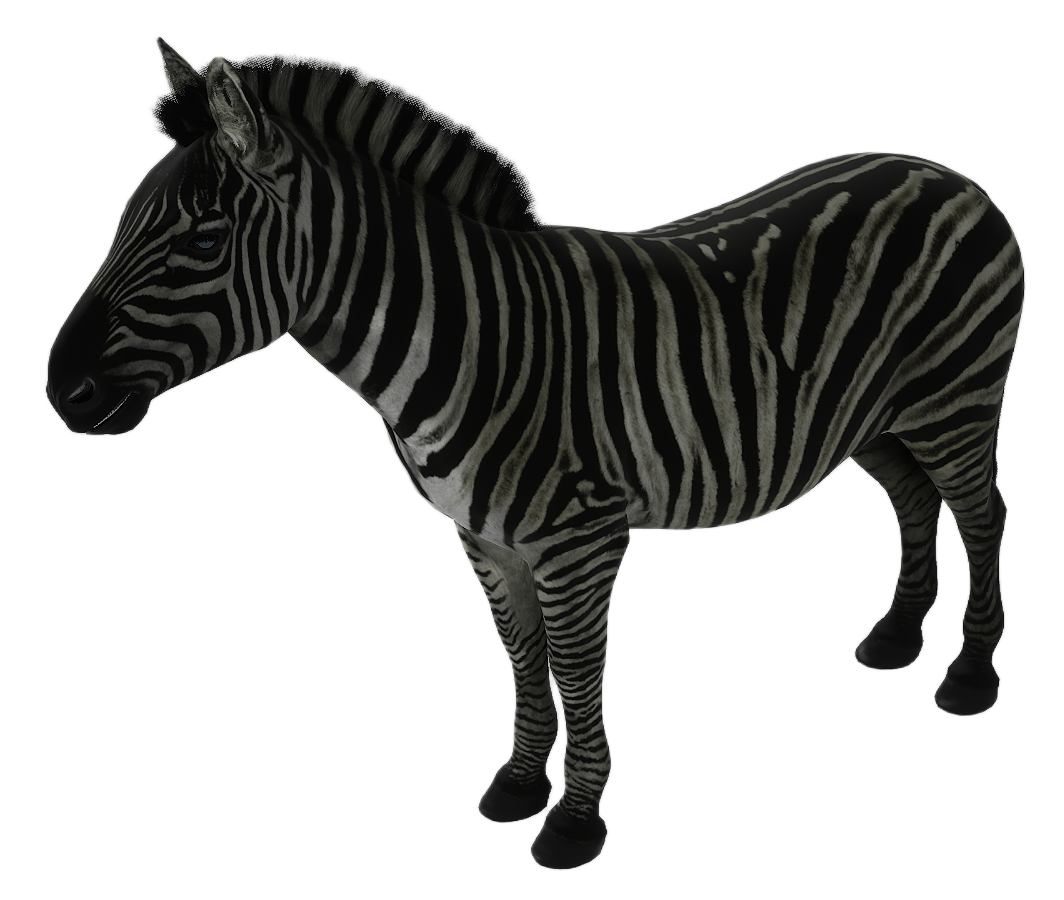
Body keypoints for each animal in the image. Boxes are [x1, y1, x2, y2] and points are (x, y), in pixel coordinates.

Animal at [45, 37, 1025, 870]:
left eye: (204, 242)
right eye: (123, 221)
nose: (62, 392)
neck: (467, 337)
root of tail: (949, 171)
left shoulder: (581, 537)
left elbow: (577, 664)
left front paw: (575, 818)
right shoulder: (481, 536)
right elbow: (519, 654)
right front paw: (520, 783)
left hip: (955, 400)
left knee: (982, 515)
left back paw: (969, 677)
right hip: (876, 421)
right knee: (913, 501)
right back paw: (896, 638)